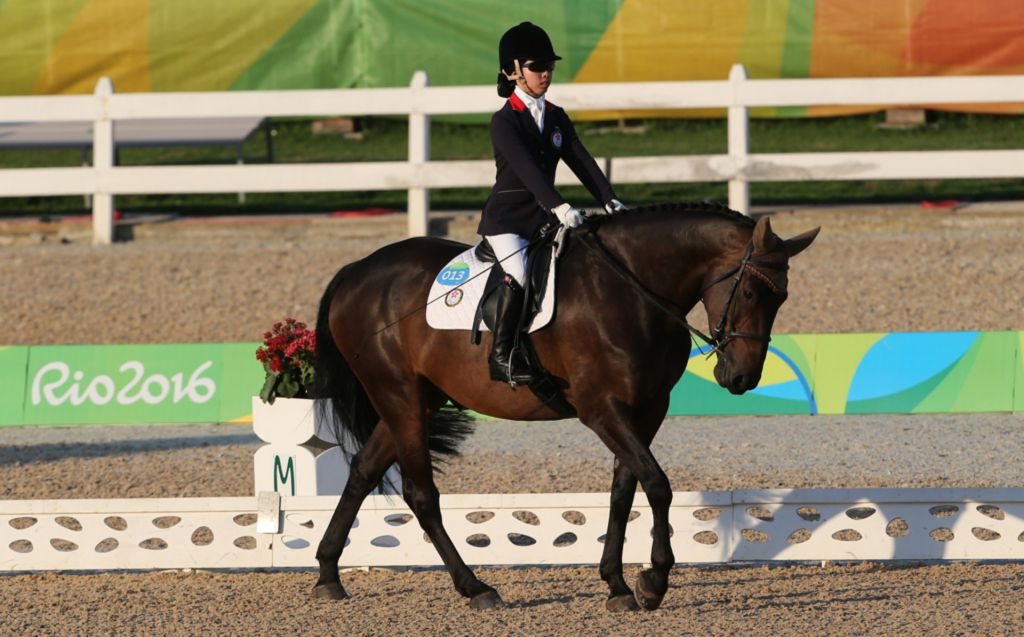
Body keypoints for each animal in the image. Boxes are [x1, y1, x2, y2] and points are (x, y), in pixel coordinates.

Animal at [307, 203, 819, 614]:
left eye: (782, 297)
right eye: (750, 293)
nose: (743, 379)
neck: (631, 290)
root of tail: (356, 270)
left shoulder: (647, 409)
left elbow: (624, 489)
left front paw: (617, 585)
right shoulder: (601, 409)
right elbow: (657, 484)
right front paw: (653, 581)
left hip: (414, 399)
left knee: (363, 471)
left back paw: (328, 574)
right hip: (400, 396)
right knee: (420, 494)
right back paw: (476, 588)